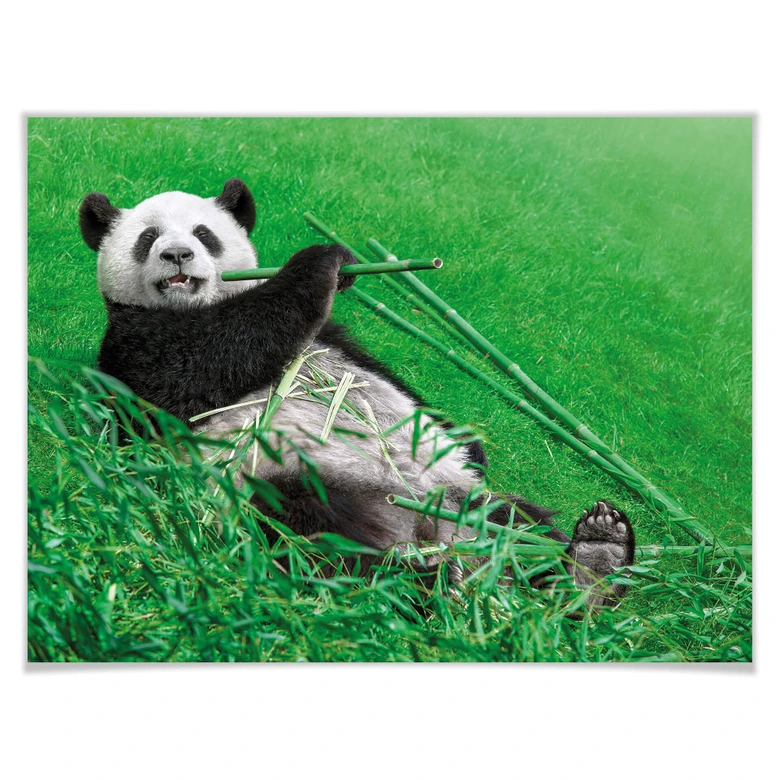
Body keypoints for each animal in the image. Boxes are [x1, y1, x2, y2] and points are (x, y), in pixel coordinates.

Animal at [79, 178, 635, 606]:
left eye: (203, 234)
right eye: (148, 236)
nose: (177, 255)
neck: (198, 302)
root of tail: (431, 535)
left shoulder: (338, 341)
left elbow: (407, 395)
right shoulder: (136, 343)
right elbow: (202, 361)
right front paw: (322, 263)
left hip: (455, 496)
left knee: (519, 522)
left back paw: (593, 561)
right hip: (279, 477)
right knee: (313, 534)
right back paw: (413, 581)